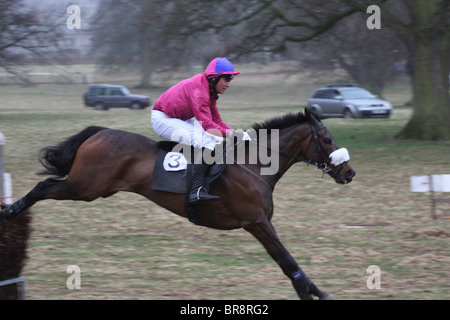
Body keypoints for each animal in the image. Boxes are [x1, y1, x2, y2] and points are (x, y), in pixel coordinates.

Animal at [0, 108, 354, 300]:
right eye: (327, 139)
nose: (349, 173)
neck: (254, 167)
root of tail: (100, 132)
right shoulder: (257, 222)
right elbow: (287, 259)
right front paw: (314, 292)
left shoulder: (259, 224)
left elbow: (284, 261)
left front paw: (311, 290)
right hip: (84, 186)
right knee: (43, 187)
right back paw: (10, 211)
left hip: (92, 187)